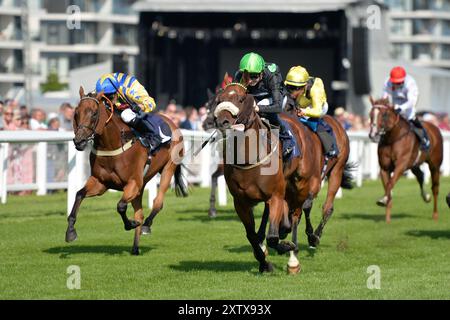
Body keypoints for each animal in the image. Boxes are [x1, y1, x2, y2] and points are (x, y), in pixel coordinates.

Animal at [66, 87, 187, 255]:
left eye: (94, 113)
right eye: (76, 113)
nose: (79, 141)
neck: (112, 145)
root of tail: (172, 123)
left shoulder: (133, 182)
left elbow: (121, 206)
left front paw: (130, 224)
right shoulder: (100, 183)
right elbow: (79, 194)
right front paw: (70, 231)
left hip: (168, 168)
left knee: (157, 202)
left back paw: (146, 225)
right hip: (142, 184)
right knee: (140, 212)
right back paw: (135, 248)